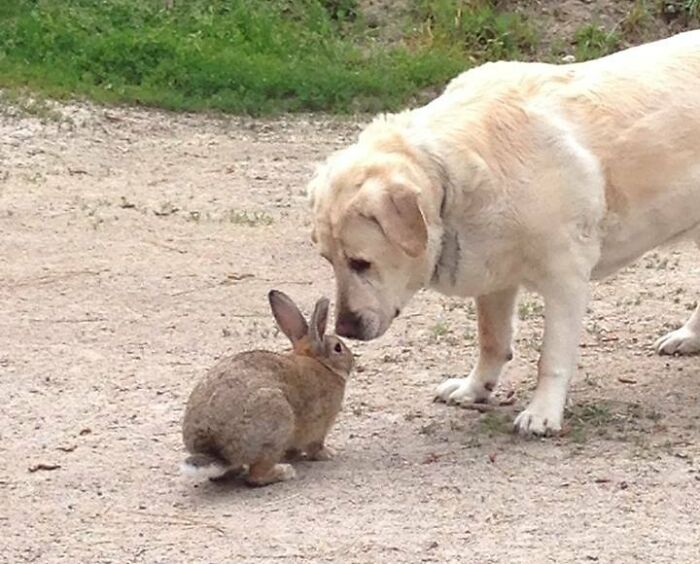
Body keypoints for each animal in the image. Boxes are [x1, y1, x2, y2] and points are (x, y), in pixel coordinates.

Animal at [182, 290, 352, 484]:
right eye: (338, 348)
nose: (352, 362)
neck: (321, 363)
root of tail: (215, 450)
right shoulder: (319, 428)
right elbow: (315, 446)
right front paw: (329, 454)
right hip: (276, 424)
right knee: (256, 476)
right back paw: (285, 471)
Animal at [308, 32, 700, 436]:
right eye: (329, 260)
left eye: (361, 263)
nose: (345, 328)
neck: (454, 176)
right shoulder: (491, 274)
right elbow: (491, 340)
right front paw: (474, 389)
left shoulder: (565, 277)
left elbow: (551, 357)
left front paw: (543, 412)